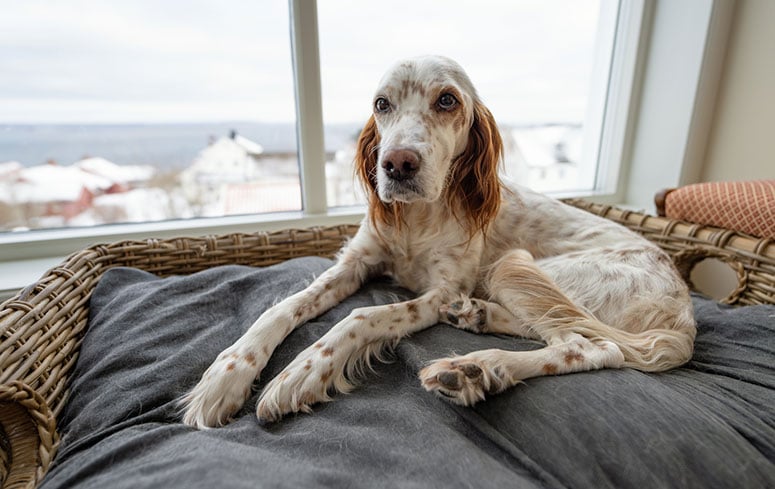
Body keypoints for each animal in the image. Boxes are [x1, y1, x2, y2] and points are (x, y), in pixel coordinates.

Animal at [182, 54, 696, 428]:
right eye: (382, 104)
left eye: (447, 100)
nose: (396, 164)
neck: (418, 219)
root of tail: (684, 309)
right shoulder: (355, 263)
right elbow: (283, 308)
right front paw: (228, 372)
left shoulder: (441, 289)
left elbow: (361, 316)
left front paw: (303, 371)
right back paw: (476, 318)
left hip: (517, 269)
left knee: (594, 346)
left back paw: (475, 370)